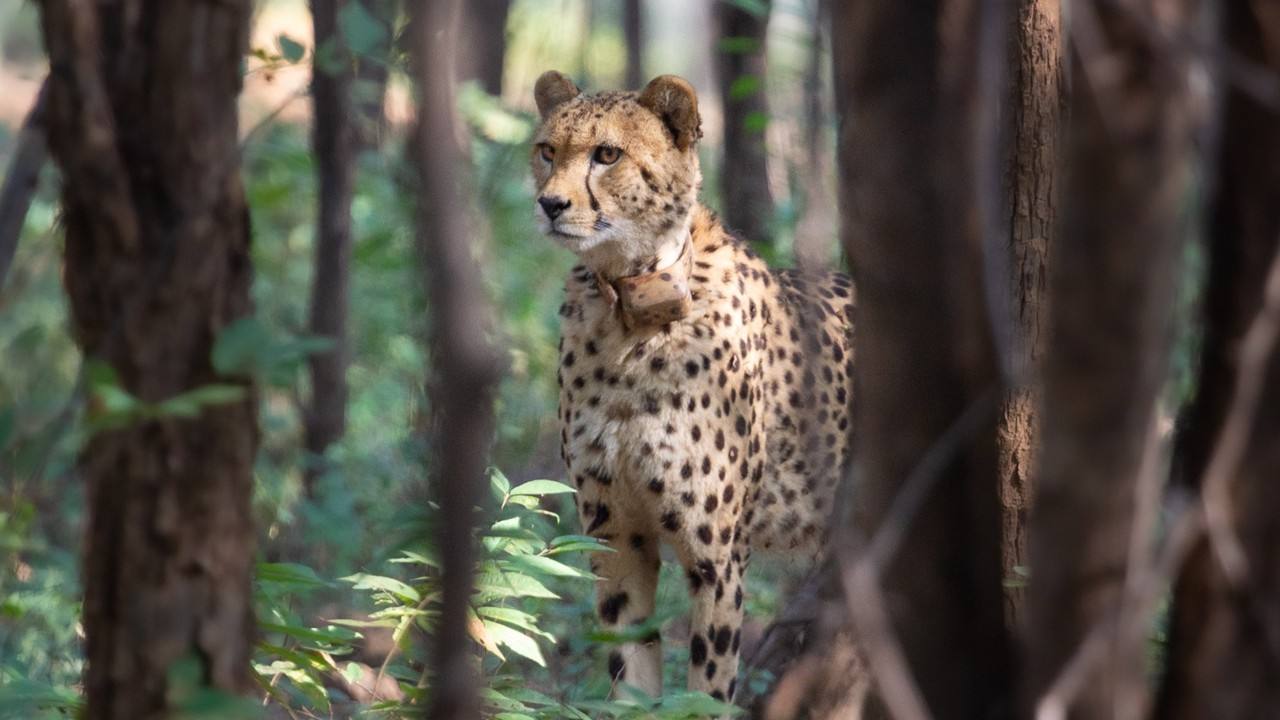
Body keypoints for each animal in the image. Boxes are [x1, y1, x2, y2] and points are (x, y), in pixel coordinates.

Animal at [531, 70, 855, 708]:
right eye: (547, 151)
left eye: (608, 154)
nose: (550, 204)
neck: (632, 309)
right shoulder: (616, 538)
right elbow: (630, 677)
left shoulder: (717, 557)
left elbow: (706, 687)